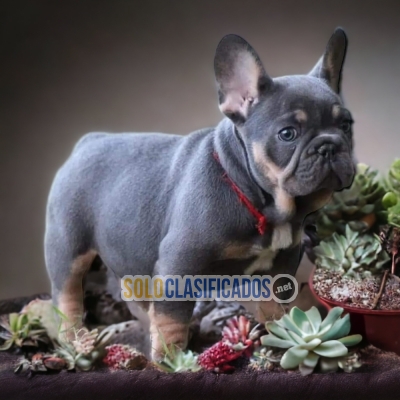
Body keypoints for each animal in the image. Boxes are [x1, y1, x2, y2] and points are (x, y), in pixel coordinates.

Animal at [45, 28, 354, 360]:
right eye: (288, 134)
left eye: (346, 125)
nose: (329, 144)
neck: (257, 199)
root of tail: (88, 141)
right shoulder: (178, 264)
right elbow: (172, 318)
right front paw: (170, 359)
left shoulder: (280, 265)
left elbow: (274, 306)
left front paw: (278, 340)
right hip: (67, 250)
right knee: (67, 298)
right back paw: (76, 340)